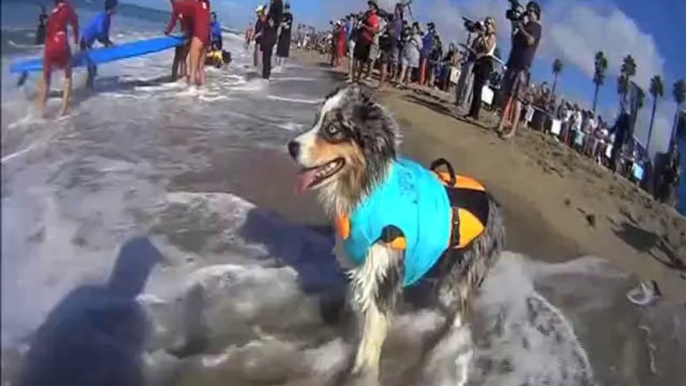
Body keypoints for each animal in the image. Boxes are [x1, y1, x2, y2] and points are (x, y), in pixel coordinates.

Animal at [288, 85, 508, 386]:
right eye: (315, 121)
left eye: (333, 129)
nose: (291, 146)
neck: (365, 190)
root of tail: (494, 205)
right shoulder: (363, 270)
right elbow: (357, 317)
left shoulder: (384, 271)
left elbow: (370, 341)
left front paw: (361, 375)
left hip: (459, 275)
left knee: (458, 312)